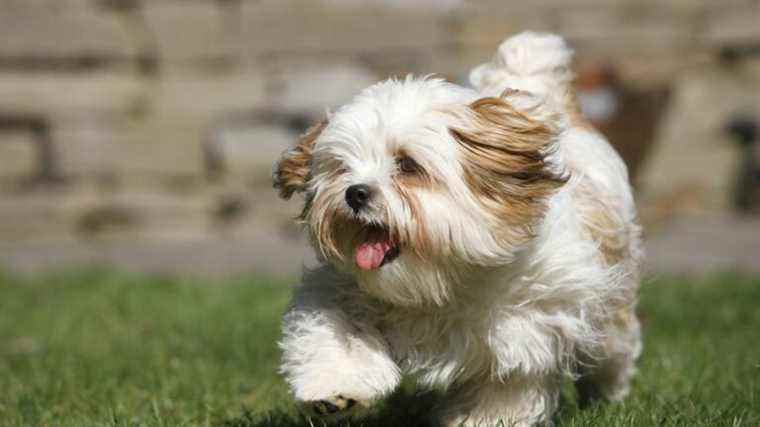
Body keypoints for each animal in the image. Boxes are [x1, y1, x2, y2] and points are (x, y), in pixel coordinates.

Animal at [274, 32, 640, 427]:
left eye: (407, 164)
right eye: (341, 167)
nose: (355, 193)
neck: (443, 280)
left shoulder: (527, 328)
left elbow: (506, 384)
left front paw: (482, 419)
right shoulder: (340, 289)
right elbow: (339, 329)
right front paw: (335, 387)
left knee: (615, 347)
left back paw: (610, 393)